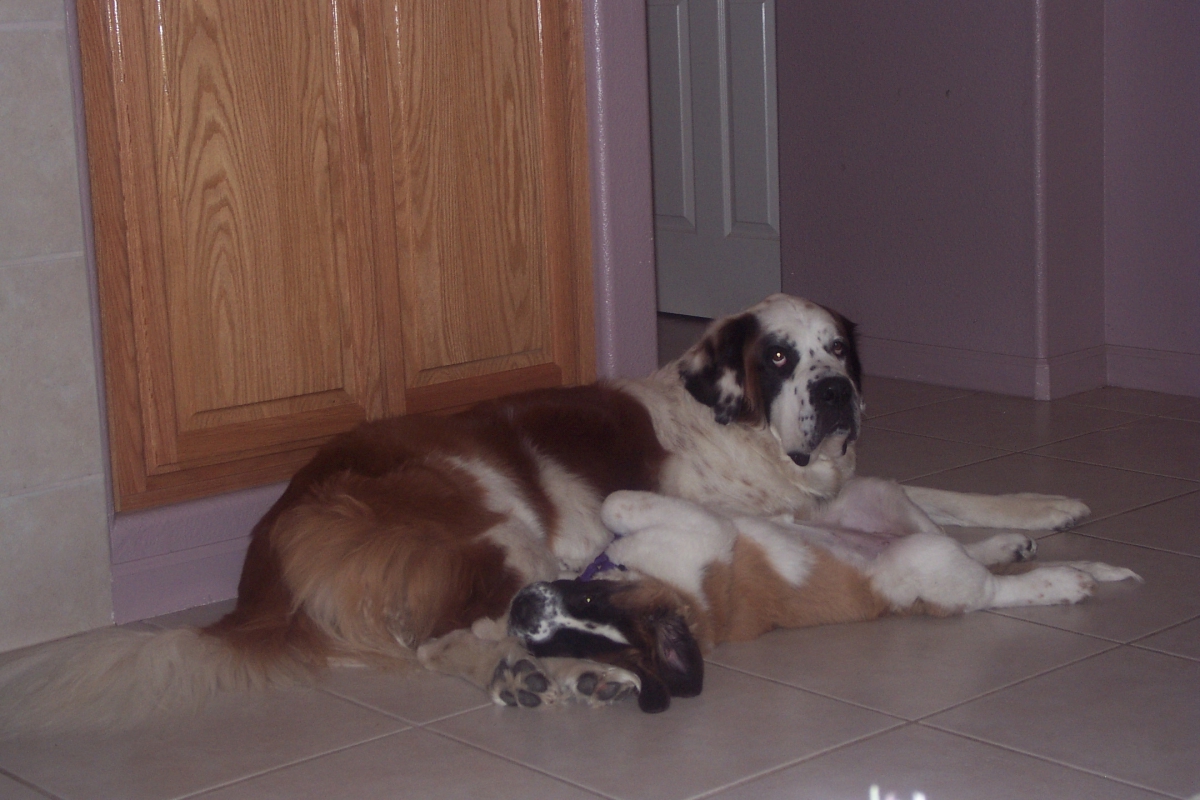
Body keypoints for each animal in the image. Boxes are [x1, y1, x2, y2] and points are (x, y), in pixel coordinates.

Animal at [507, 484, 1141, 712]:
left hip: (873, 497)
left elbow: (617, 502)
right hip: (923, 558)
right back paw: (1060, 579)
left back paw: (1025, 551)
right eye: (568, 645)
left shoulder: (701, 530)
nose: (521, 612)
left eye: (590, 607)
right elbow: (617, 506)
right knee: (988, 588)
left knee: (969, 552)